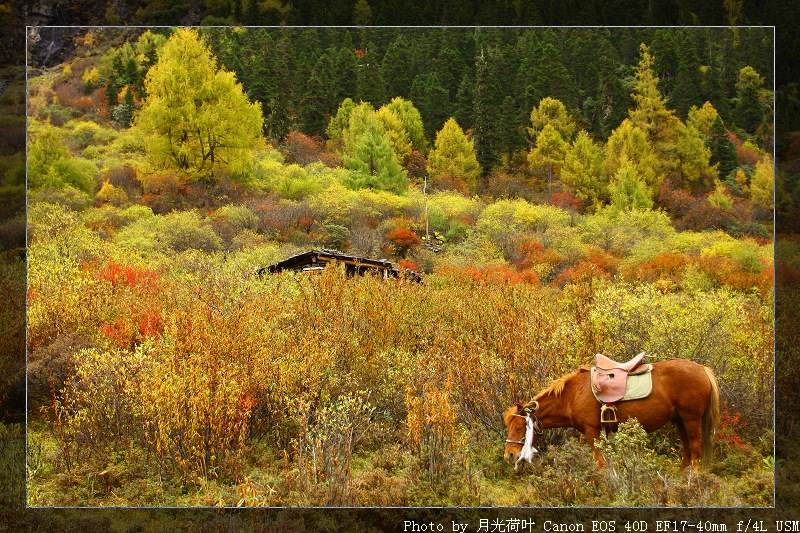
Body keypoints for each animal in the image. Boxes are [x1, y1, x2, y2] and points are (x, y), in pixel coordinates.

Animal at [504, 358, 720, 470]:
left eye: (520, 427)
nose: (509, 455)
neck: (573, 394)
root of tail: (703, 369)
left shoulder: (592, 431)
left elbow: (601, 461)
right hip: (680, 420)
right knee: (687, 449)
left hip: (690, 419)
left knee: (695, 448)